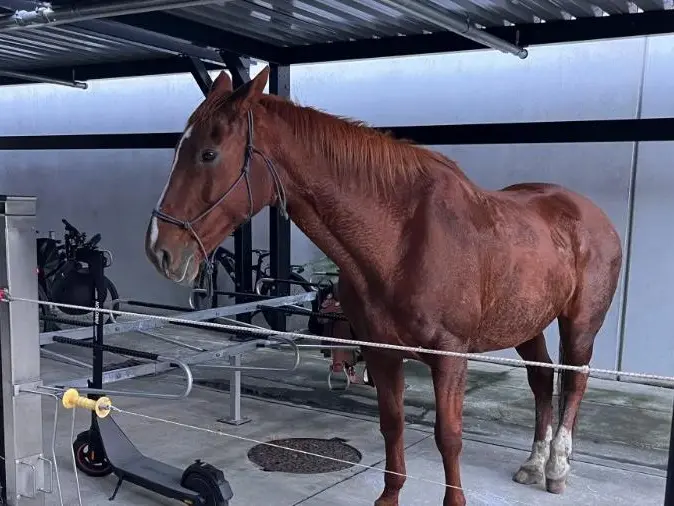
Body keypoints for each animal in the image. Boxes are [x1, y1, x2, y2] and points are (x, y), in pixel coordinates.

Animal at [145, 67, 623, 506]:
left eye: (209, 153)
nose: (159, 249)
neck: (401, 241)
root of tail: (592, 214)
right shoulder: (381, 351)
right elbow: (392, 425)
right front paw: (389, 496)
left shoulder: (450, 357)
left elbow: (449, 436)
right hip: (528, 323)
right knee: (542, 382)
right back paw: (533, 463)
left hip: (579, 325)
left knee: (574, 382)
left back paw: (557, 467)